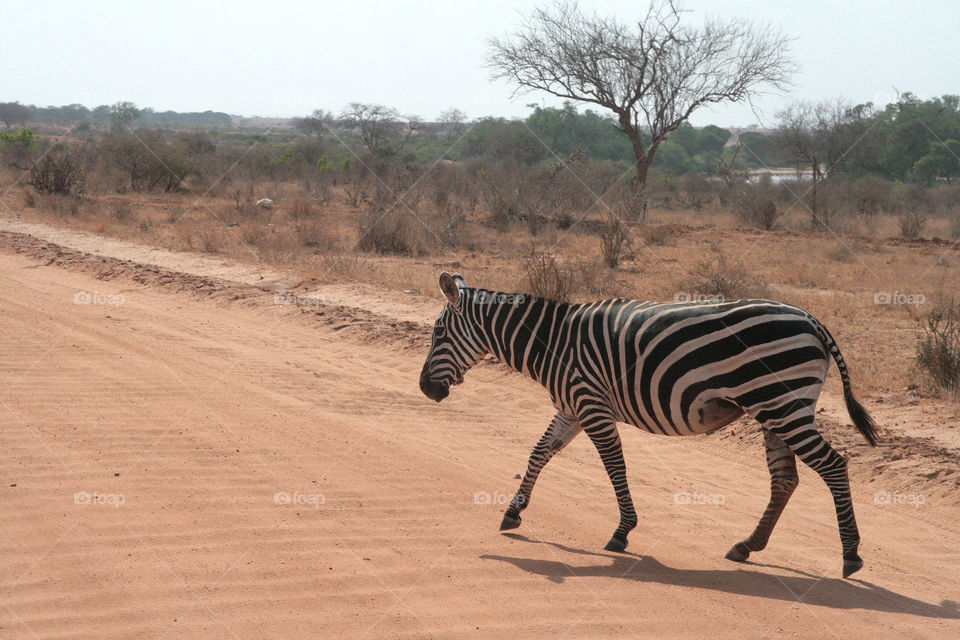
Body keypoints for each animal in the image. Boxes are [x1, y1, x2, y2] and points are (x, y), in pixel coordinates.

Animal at [419, 272, 879, 578]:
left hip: (782, 404)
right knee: (785, 479)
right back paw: (747, 546)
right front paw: (513, 511)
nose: (425, 388)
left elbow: (614, 466)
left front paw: (622, 532)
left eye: (438, 333)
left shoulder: (591, 404)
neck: (553, 343)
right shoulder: (571, 406)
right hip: (775, 408)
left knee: (833, 466)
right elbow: (539, 452)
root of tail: (810, 319)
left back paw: (851, 555)